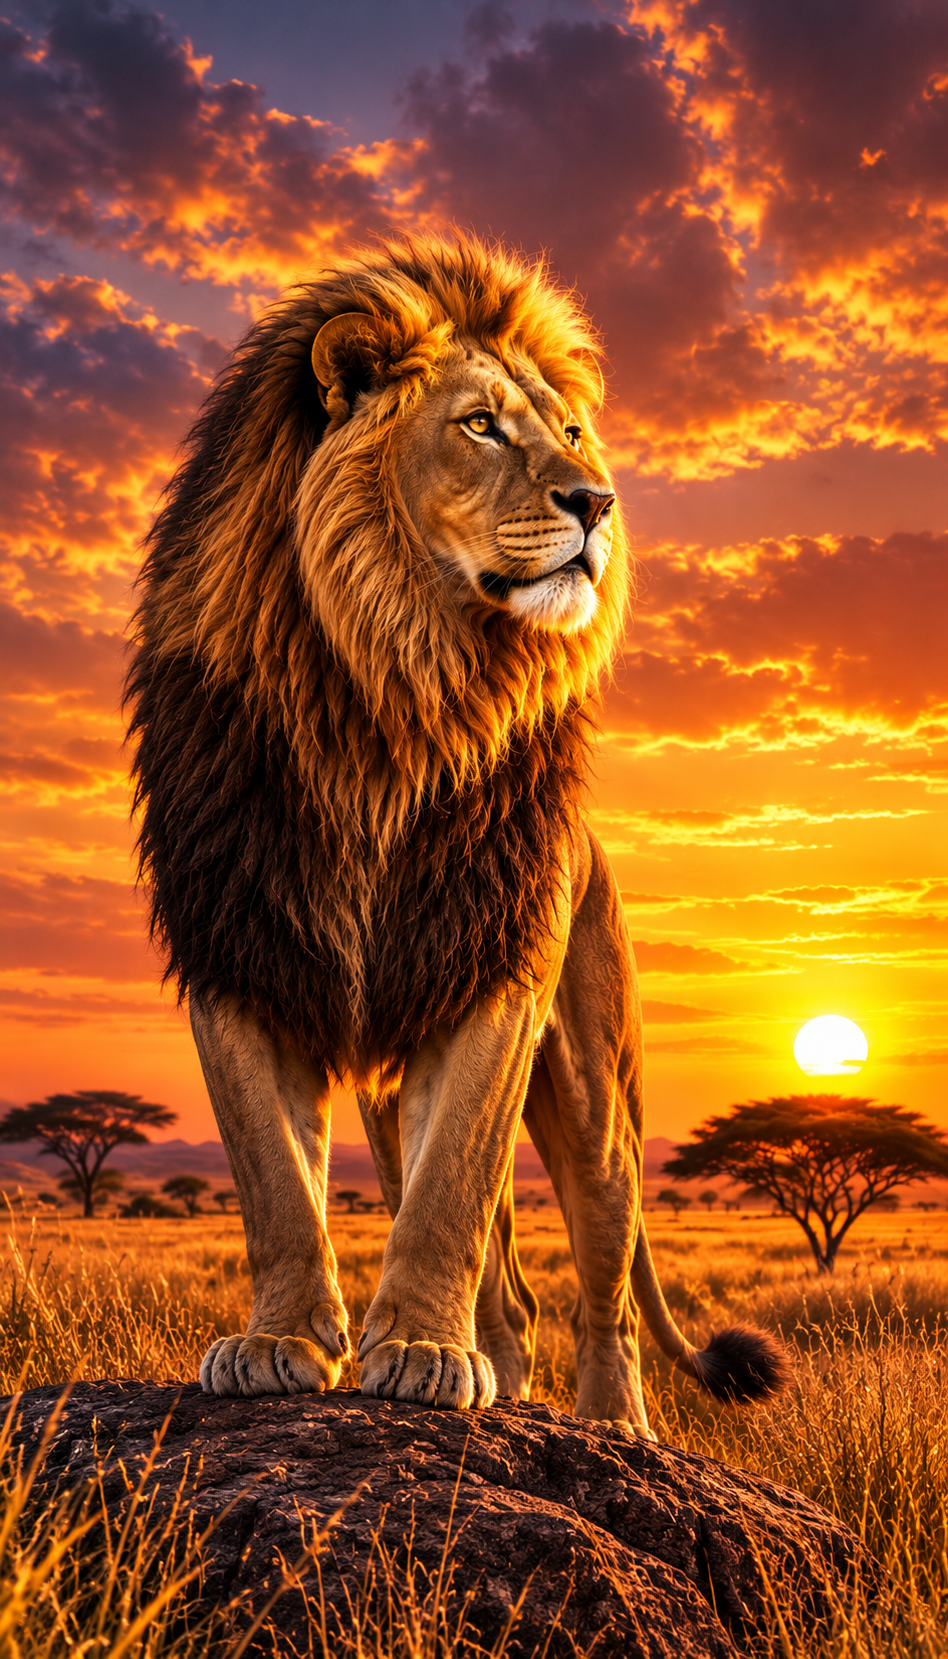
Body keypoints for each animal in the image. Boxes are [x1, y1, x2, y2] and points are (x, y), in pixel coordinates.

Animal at [127, 233, 787, 1435]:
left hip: (595, 1090)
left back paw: (612, 1423)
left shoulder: (491, 964)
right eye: (479, 424)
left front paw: (425, 1354)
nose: (598, 500)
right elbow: (276, 1181)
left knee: (603, 1283)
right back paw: (494, 1378)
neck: (391, 685)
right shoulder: (239, 946)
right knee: (511, 1291)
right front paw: (283, 1343)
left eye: (570, 433)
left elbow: (453, 1192)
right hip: (391, 1100)